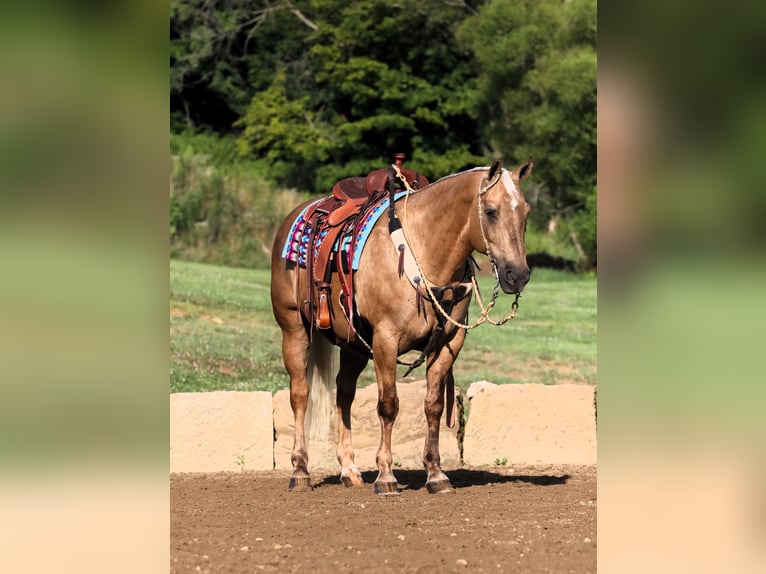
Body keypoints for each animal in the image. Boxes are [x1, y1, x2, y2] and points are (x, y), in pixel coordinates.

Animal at [274, 156, 536, 496]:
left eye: (526, 211)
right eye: (491, 211)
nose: (518, 275)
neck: (425, 251)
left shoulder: (448, 343)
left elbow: (433, 405)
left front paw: (436, 474)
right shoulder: (386, 340)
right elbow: (388, 405)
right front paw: (386, 476)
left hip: (354, 345)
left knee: (343, 394)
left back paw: (349, 470)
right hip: (294, 330)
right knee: (300, 394)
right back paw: (301, 470)